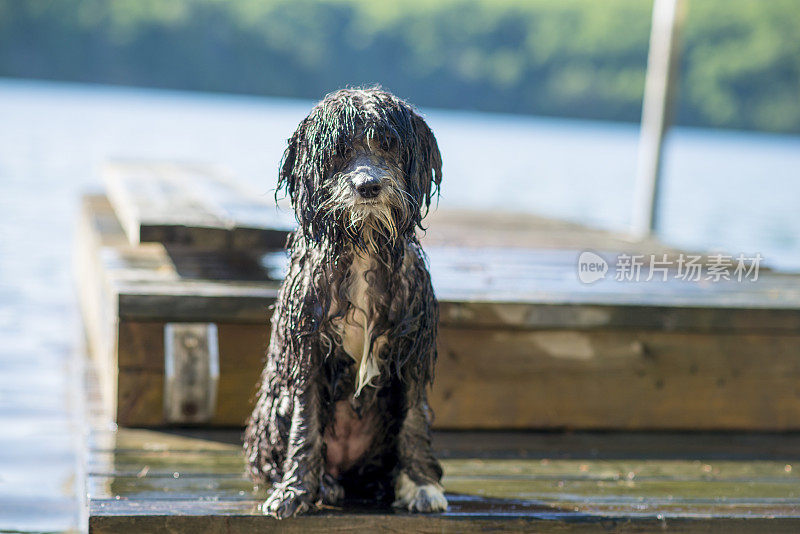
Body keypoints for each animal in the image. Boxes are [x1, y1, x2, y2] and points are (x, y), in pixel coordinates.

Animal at [244, 87, 444, 520]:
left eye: (388, 144)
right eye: (339, 151)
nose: (368, 186)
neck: (364, 241)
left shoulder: (410, 349)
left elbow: (414, 421)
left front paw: (421, 483)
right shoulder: (308, 349)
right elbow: (305, 425)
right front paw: (295, 491)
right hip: (274, 405)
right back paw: (326, 483)